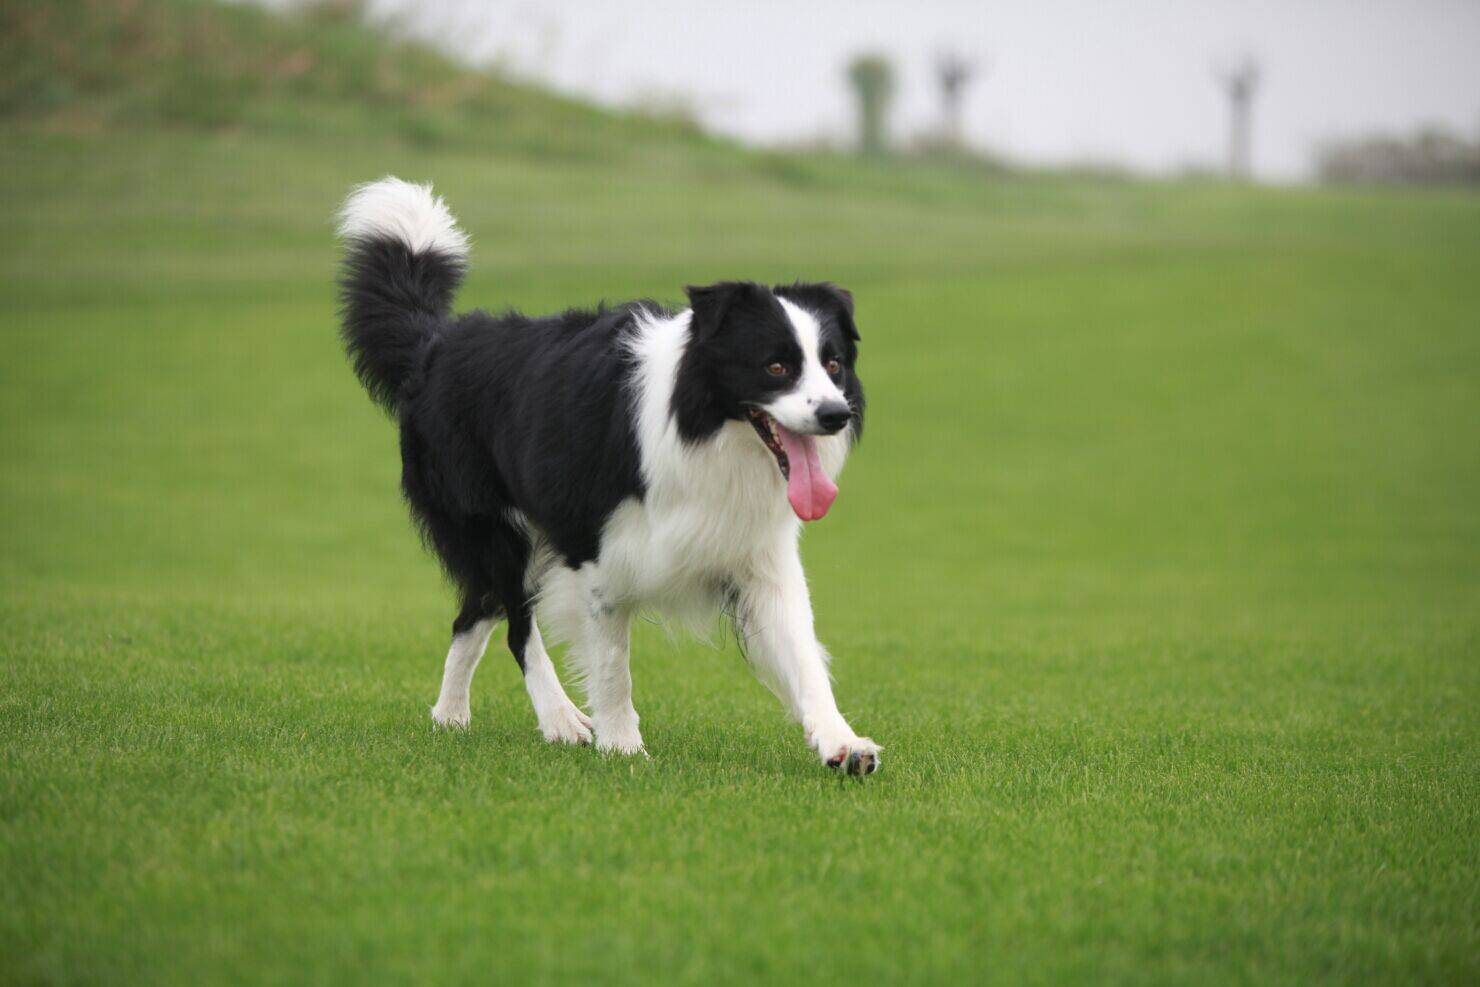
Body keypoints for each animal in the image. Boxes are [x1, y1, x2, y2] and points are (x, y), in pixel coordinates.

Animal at [335, 181, 876, 775]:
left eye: (832, 364)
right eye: (775, 367)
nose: (835, 415)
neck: (701, 428)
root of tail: (435, 346)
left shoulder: (757, 554)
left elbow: (802, 653)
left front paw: (842, 742)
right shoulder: (595, 552)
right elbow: (613, 662)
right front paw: (621, 745)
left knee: (472, 615)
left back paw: (450, 717)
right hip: (498, 529)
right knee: (516, 625)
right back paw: (559, 720)